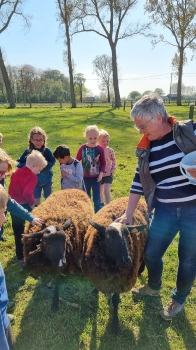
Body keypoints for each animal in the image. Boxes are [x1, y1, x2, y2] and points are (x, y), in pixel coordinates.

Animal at [81, 197, 147, 334]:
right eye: (108, 236)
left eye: (128, 235)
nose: (127, 260)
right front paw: (95, 290)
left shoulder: (119, 281)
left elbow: (115, 301)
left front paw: (115, 325)